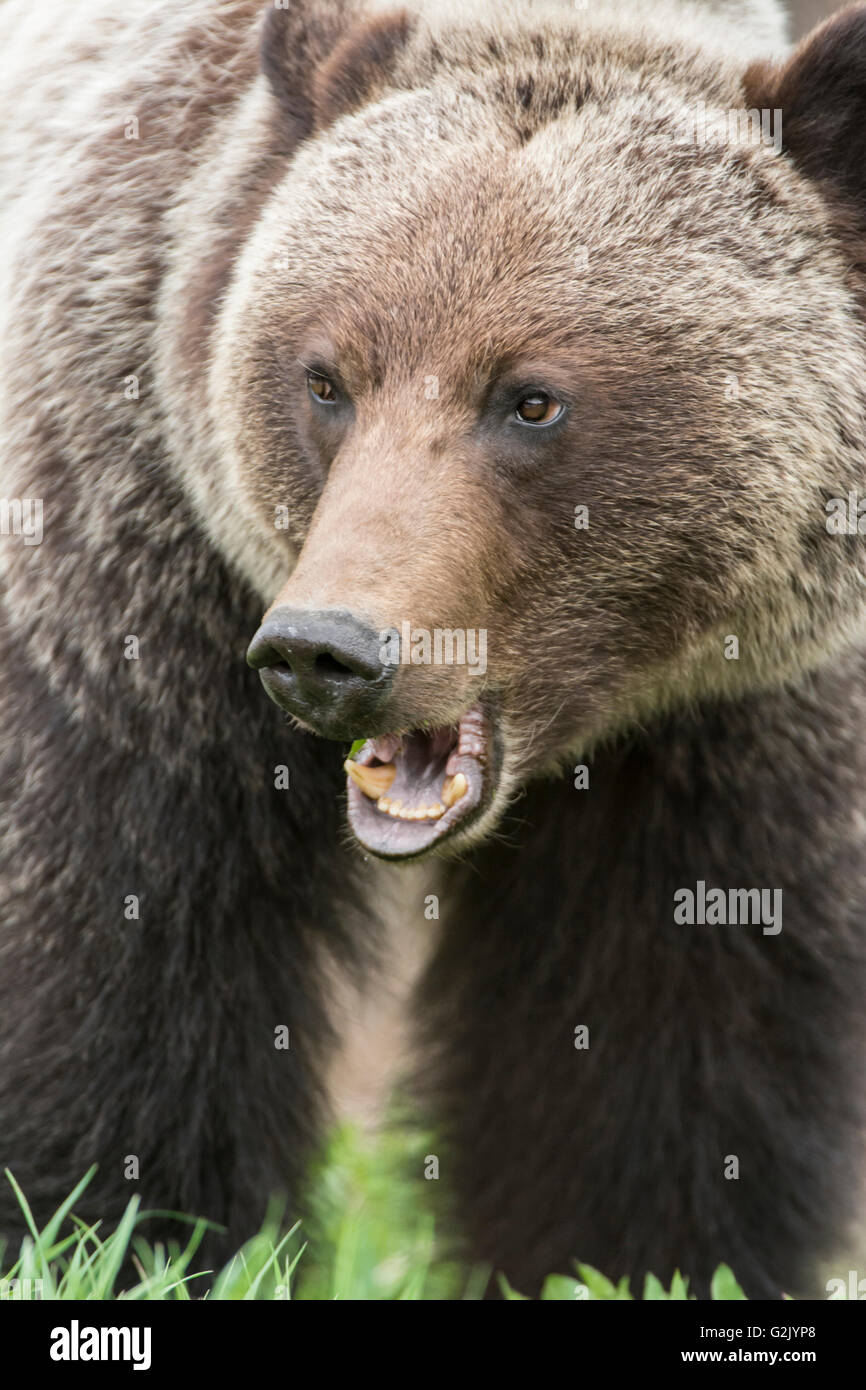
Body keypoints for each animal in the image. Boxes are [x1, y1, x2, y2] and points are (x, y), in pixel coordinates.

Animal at [1, 0, 866, 1301]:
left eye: (531, 399)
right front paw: (127, 1229)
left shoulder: (734, 721)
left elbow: (667, 1010)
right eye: (324, 378)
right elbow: (116, 942)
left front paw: (626, 1250)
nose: (327, 648)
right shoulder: (133, 565)